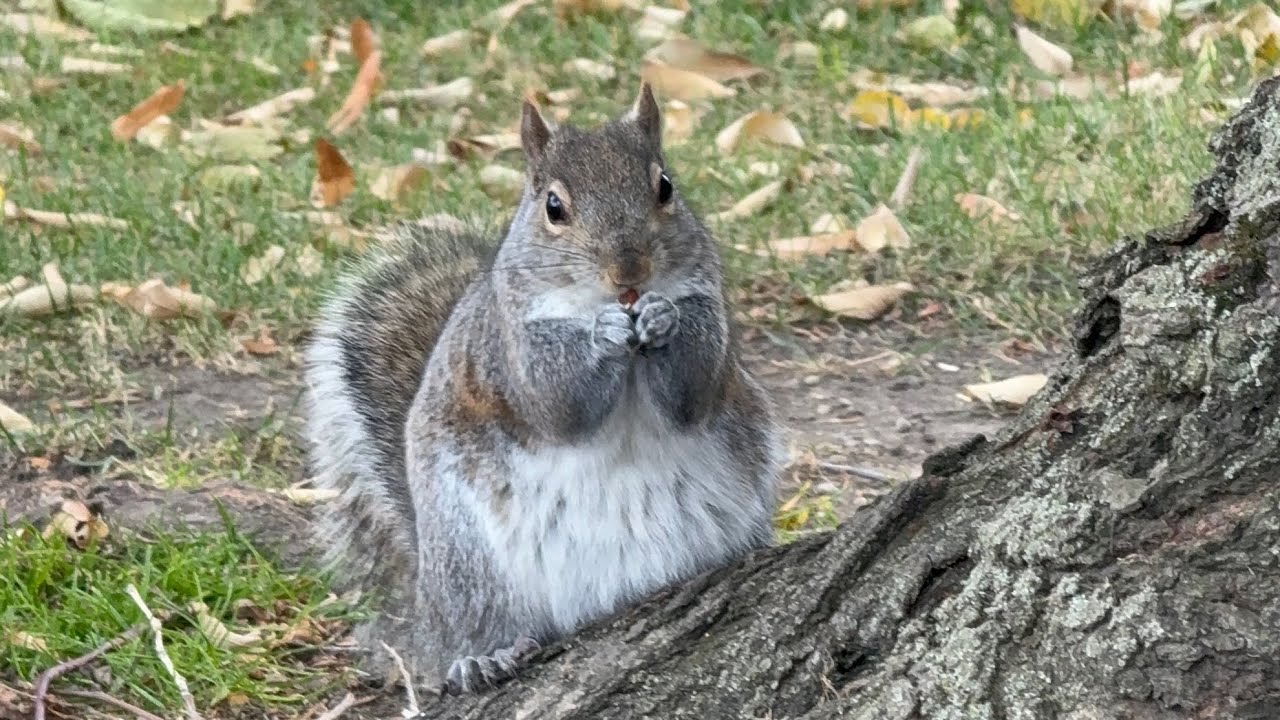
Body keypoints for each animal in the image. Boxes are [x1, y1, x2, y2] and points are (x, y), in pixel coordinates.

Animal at [302, 83, 782, 694]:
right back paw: (480, 658)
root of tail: (426, 617)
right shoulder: (508, 350)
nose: (629, 272)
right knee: (476, 626)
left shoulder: (708, 310)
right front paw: (602, 335)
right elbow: (558, 405)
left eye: (665, 186)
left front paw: (662, 317)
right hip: (471, 566)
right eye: (554, 208)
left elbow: (692, 393)